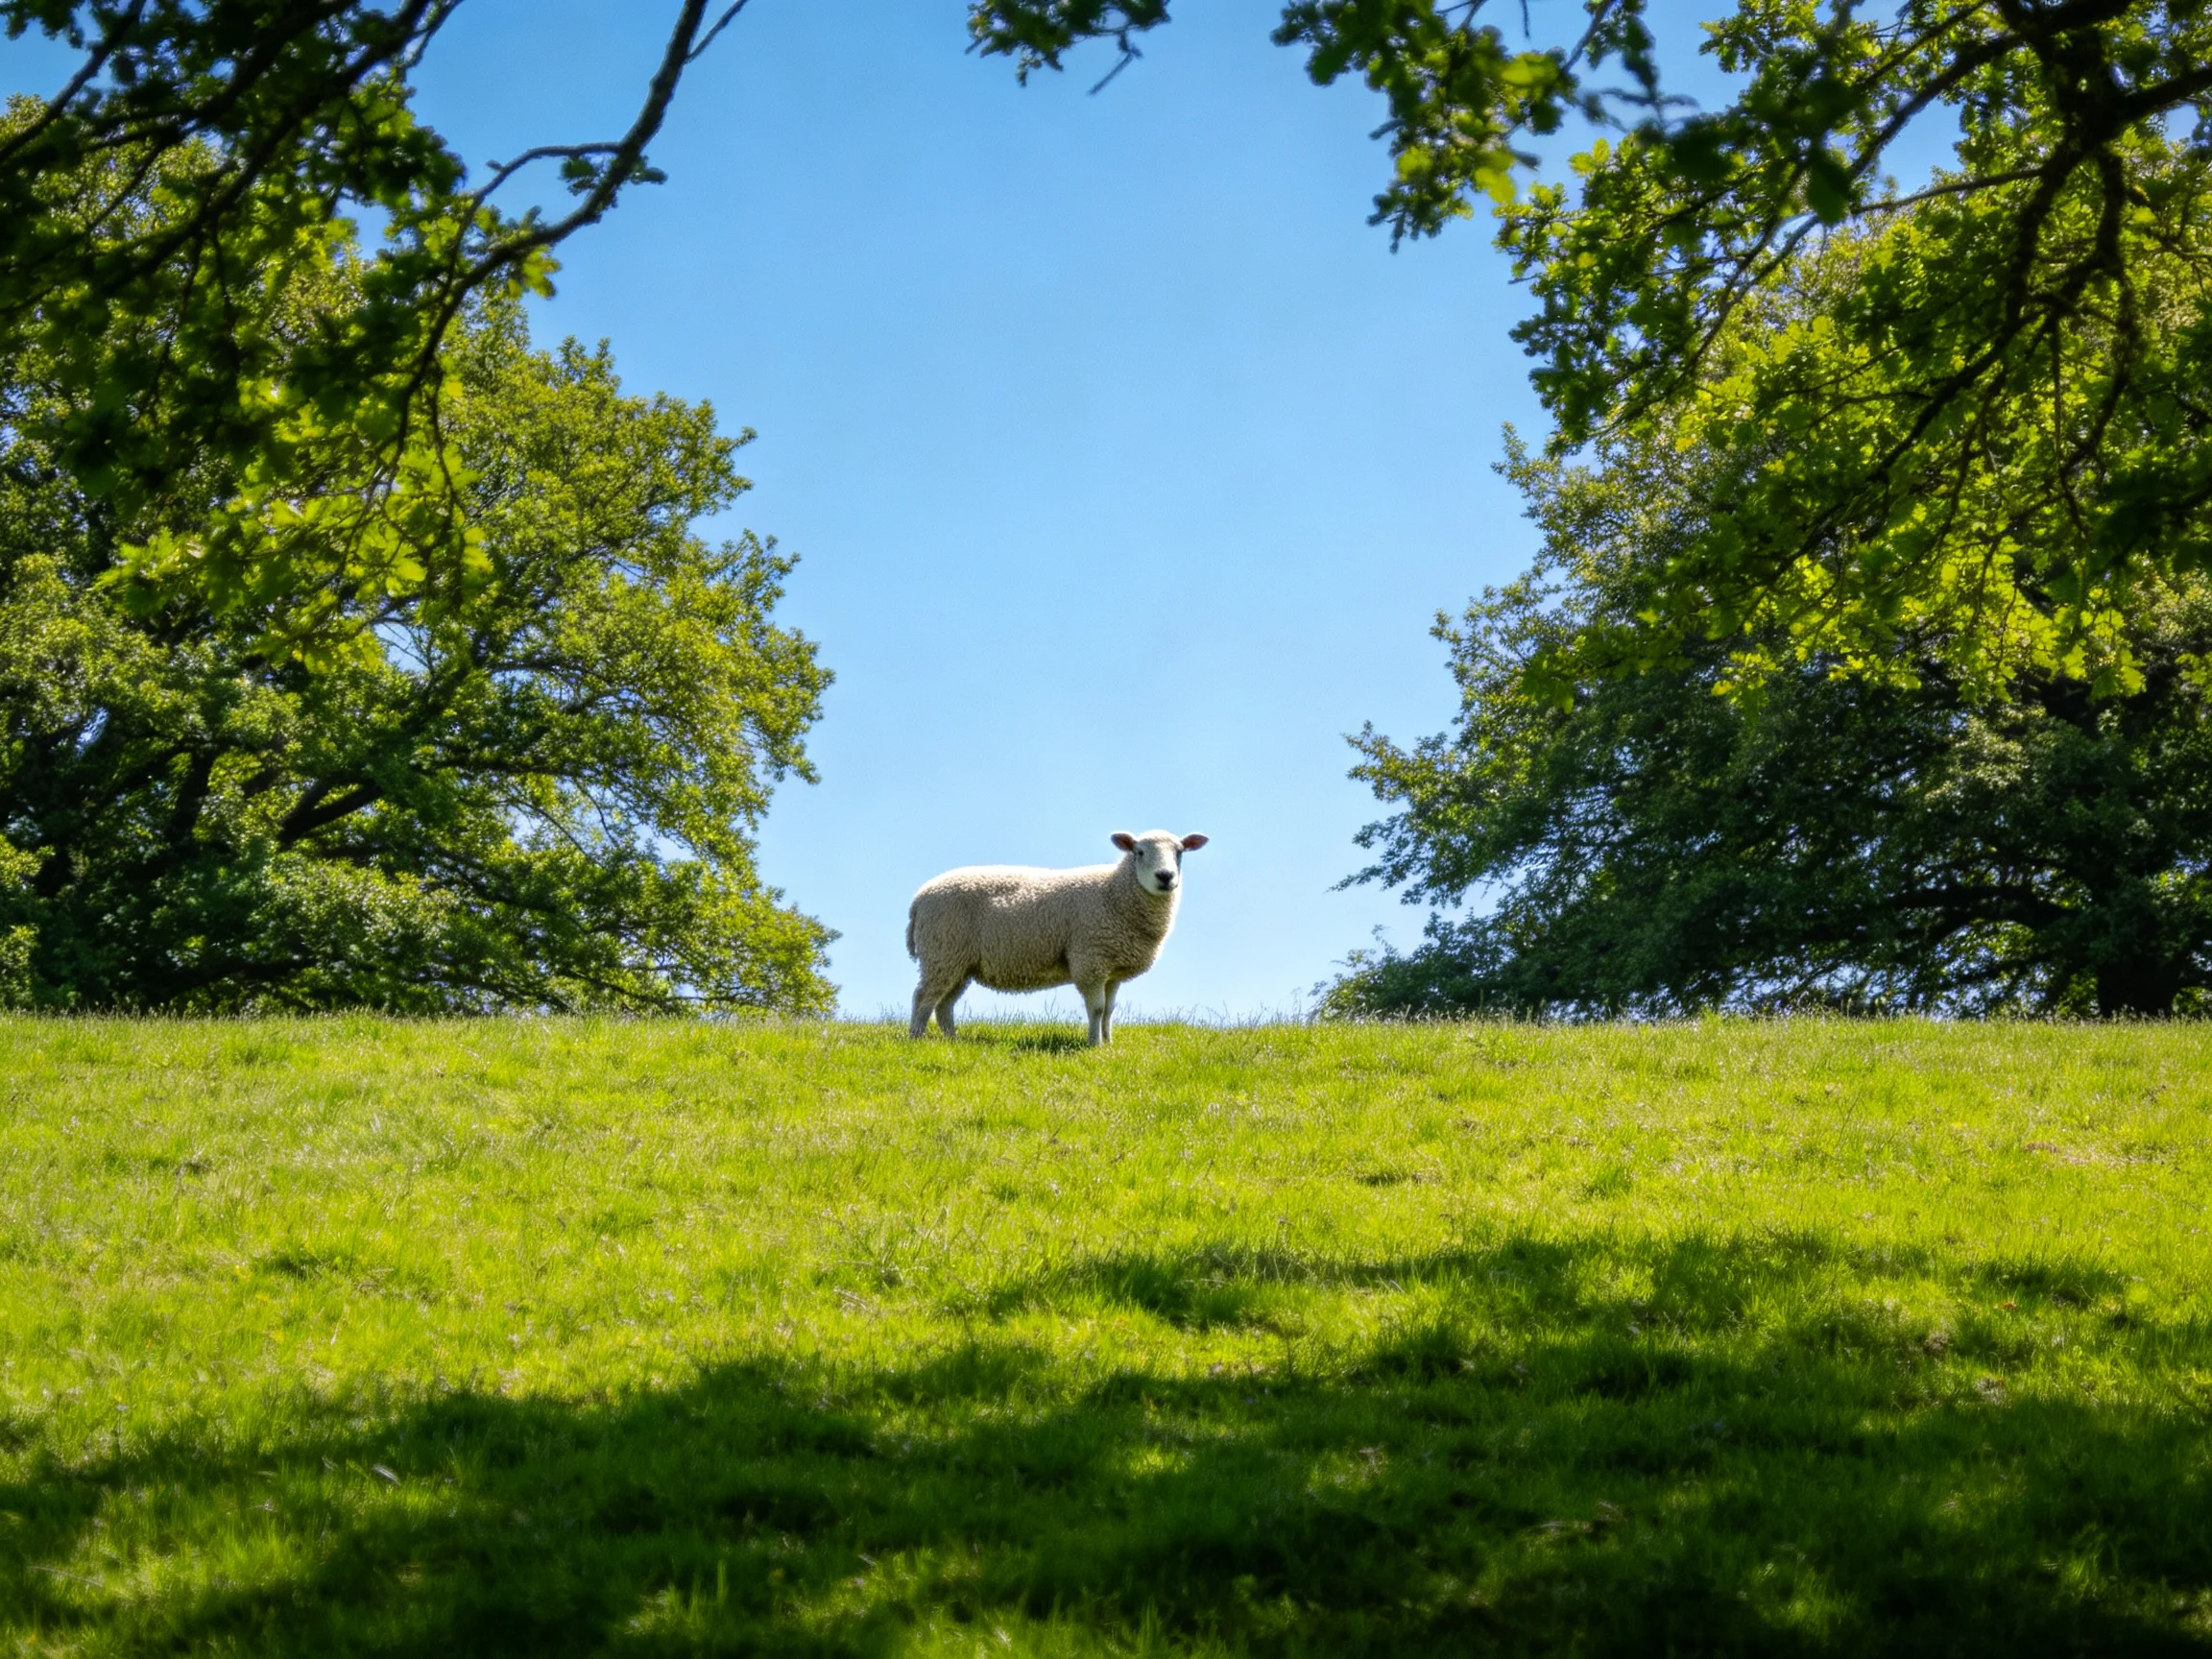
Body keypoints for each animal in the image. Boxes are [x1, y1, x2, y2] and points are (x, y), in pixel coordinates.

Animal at [906, 830, 1210, 1044]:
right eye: (1139, 851)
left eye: (1180, 851)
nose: (1165, 876)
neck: (1114, 892)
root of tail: (919, 898)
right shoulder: (1090, 960)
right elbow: (1097, 1009)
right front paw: (1094, 1044)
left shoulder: (1112, 969)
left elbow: (1110, 1010)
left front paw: (1109, 1043)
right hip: (942, 950)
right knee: (923, 997)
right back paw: (916, 1038)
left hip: (958, 961)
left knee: (944, 1004)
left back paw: (953, 1040)